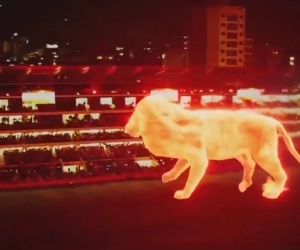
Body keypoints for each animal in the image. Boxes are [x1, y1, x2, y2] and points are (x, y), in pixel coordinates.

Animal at [125, 94, 300, 200]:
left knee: (281, 174)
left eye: (137, 113)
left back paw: (273, 192)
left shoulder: (199, 159)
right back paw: (244, 185)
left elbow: (191, 178)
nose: (126, 128)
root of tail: (273, 121)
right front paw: (167, 177)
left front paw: (183, 194)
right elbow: (178, 165)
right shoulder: (187, 155)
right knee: (250, 164)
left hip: (264, 154)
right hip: (239, 151)